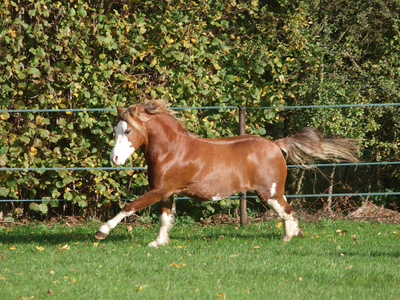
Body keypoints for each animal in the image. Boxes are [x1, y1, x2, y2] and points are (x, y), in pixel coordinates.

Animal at [94, 101, 360, 246]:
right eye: (115, 130)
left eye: (128, 130)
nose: (114, 159)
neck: (172, 150)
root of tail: (276, 144)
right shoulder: (167, 192)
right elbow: (164, 218)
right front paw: (158, 243)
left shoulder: (159, 190)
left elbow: (129, 206)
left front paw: (101, 232)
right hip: (273, 191)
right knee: (289, 210)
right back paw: (296, 234)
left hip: (269, 192)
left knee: (287, 210)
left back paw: (287, 238)